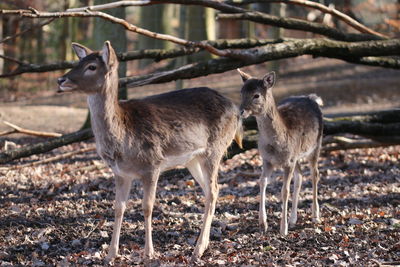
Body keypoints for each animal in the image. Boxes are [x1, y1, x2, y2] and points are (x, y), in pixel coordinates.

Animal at [57, 40, 242, 262]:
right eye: (78, 61)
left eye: (92, 66)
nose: (60, 79)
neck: (122, 140)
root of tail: (236, 109)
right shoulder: (120, 173)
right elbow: (118, 208)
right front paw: (110, 254)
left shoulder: (152, 164)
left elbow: (147, 207)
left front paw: (148, 253)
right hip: (193, 159)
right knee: (211, 190)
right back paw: (204, 243)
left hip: (215, 149)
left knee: (213, 189)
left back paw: (197, 249)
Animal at [238, 69, 322, 237]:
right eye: (241, 92)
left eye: (256, 95)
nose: (241, 111)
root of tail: (312, 98)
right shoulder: (267, 160)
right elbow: (262, 182)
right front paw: (263, 223)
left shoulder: (288, 162)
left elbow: (284, 190)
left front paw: (283, 229)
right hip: (297, 156)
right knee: (300, 176)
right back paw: (293, 219)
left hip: (316, 145)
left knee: (315, 174)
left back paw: (315, 215)